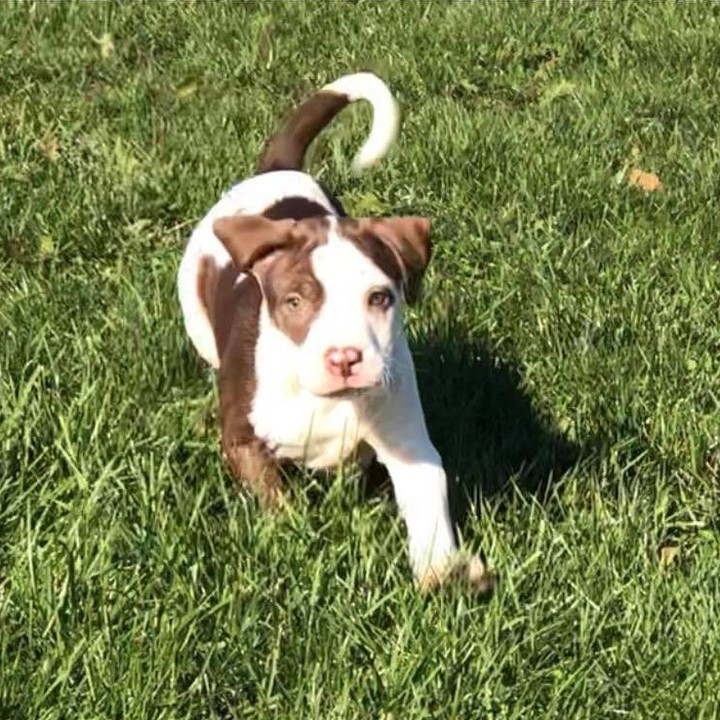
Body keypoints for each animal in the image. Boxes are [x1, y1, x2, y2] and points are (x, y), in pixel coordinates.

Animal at [178, 71, 492, 592]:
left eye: (380, 298)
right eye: (294, 302)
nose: (344, 357)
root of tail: (278, 170)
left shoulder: (406, 439)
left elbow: (426, 496)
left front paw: (443, 569)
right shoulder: (243, 440)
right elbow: (275, 500)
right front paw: (292, 536)